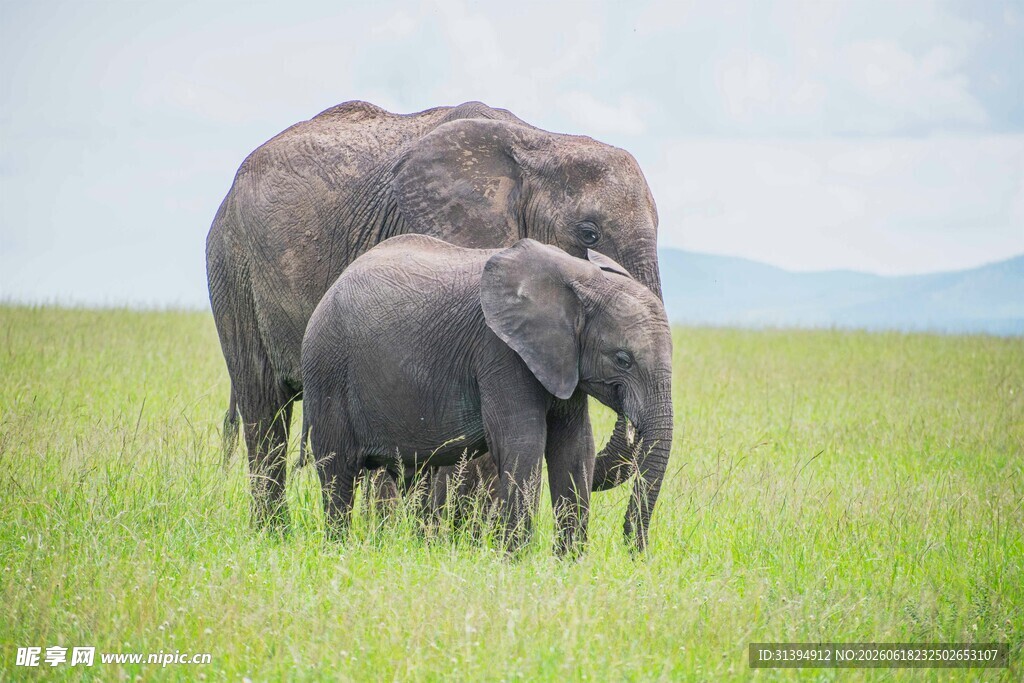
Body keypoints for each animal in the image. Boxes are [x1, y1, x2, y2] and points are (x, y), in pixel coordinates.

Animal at [301, 235, 674, 554]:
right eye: (623, 359)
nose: (634, 551)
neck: (581, 278)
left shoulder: (562, 360)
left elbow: (575, 448)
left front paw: (569, 563)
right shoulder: (500, 352)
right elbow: (523, 442)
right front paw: (515, 561)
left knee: (414, 476)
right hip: (327, 370)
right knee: (338, 472)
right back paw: (338, 550)